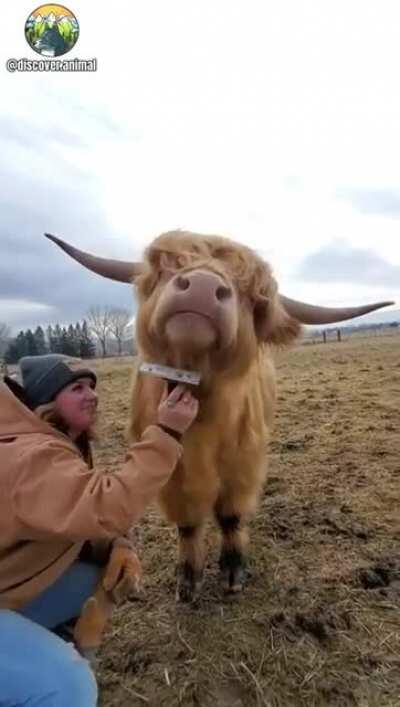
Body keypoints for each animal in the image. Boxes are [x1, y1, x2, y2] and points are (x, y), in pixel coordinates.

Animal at [45, 230, 393, 602]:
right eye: (169, 266)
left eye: (251, 297)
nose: (202, 284)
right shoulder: (171, 472)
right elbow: (188, 523)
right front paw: (188, 579)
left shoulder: (243, 463)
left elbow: (230, 516)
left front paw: (233, 572)